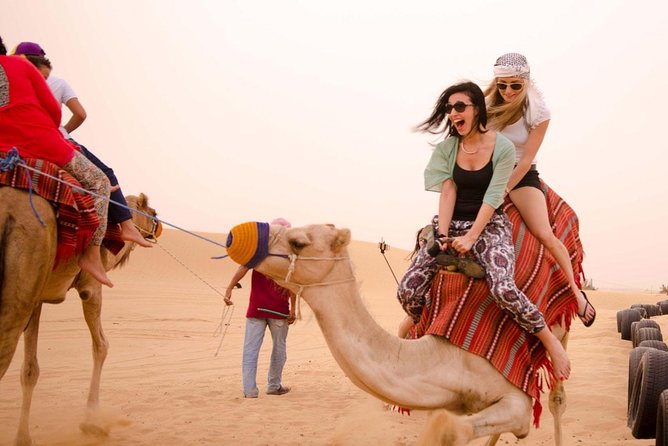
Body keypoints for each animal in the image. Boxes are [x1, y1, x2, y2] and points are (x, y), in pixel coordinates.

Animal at [0, 187, 160, 446]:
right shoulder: (91, 285)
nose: (156, 228)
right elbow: (101, 346)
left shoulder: (36, 298)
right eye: (152, 212)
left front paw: (23, 438)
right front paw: (91, 423)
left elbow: (30, 370)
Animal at [227, 223, 568, 446]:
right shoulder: (449, 400)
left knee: (556, 398)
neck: (446, 355)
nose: (234, 235)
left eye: (298, 242)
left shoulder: (515, 400)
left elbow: (452, 431)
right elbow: (447, 426)